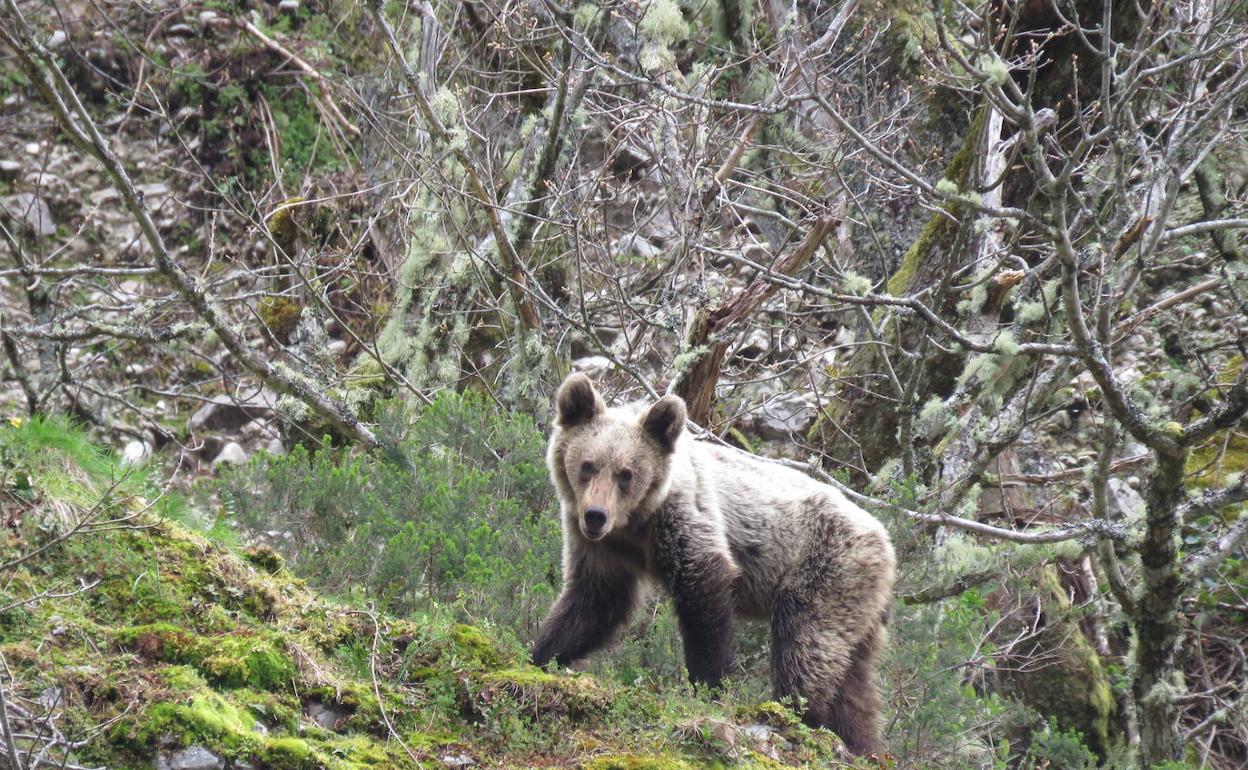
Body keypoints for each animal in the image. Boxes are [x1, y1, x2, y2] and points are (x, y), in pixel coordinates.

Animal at [531, 371, 893, 748]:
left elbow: (704, 593)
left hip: (826, 569)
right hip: (860, 609)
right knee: (854, 685)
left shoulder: (684, 519)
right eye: (587, 465)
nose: (595, 516)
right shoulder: (605, 550)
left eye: (626, 473)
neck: (635, 522)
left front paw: (707, 685)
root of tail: (884, 539)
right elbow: (595, 601)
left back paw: (794, 713)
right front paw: (542, 651)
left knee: (806, 643)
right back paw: (861, 742)